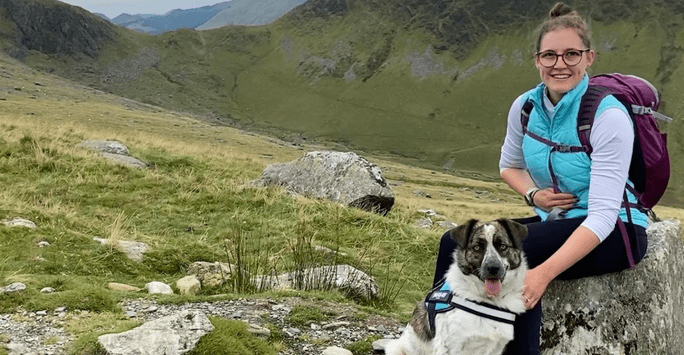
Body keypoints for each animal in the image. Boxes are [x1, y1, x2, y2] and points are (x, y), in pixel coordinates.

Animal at [384, 220, 528, 355]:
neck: (487, 302)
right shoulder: (448, 348)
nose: (493, 268)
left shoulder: (496, 349)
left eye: (503, 246)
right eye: (477, 247)